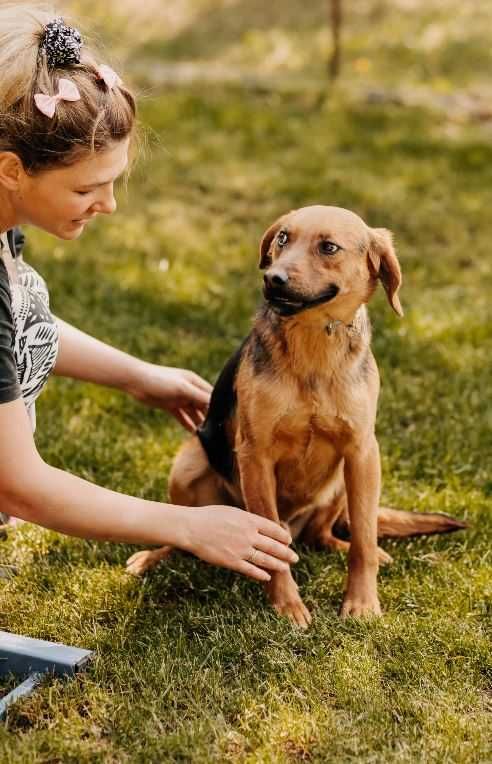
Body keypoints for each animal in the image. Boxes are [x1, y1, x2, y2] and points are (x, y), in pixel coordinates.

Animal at [126, 204, 466, 628]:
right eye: (282, 238)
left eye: (329, 247)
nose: (273, 278)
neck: (313, 344)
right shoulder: (255, 454)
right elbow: (272, 547)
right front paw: (287, 605)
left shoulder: (362, 452)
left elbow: (364, 539)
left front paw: (362, 602)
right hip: (189, 464)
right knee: (191, 536)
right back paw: (154, 557)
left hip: (342, 481)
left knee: (326, 536)